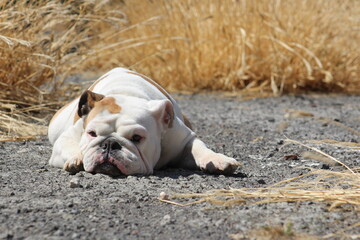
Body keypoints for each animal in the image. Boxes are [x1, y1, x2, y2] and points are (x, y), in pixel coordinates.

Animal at [47, 67, 239, 176]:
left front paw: (217, 160)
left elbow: (199, 148)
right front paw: (77, 158)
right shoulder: (67, 138)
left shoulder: (182, 139)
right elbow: (68, 146)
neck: (126, 95)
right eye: (92, 134)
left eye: (137, 138)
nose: (110, 144)